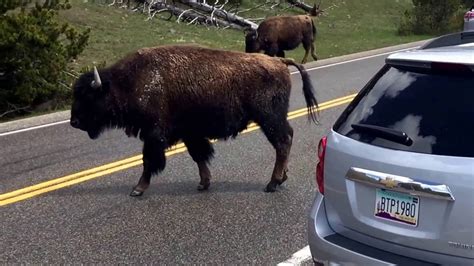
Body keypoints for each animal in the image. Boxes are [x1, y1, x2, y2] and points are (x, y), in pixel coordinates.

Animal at [70, 45, 320, 195]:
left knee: (283, 141)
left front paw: (137, 189)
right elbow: (199, 156)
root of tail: (280, 62)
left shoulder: (154, 134)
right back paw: (281, 177)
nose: (74, 122)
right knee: (284, 141)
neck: (129, 82)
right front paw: (203, 183)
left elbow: (149, 161)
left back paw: (272, 183)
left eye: (88, 97)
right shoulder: (189, 133)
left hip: (269, 118)